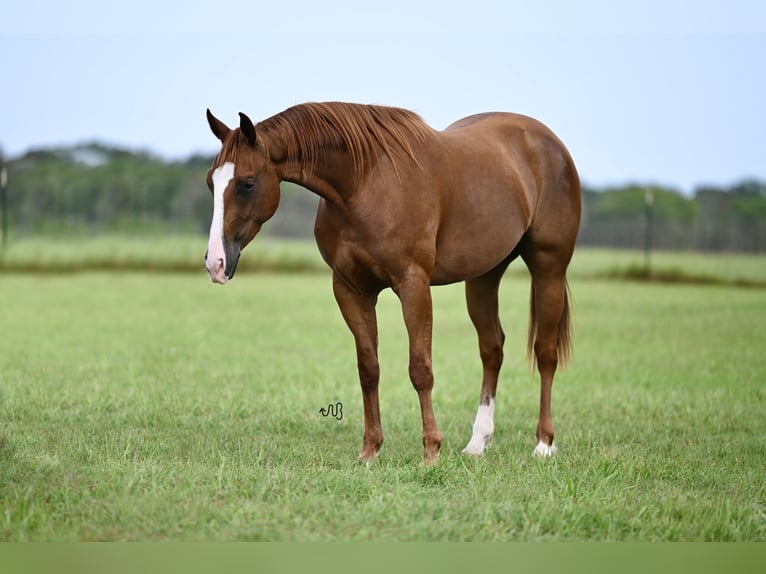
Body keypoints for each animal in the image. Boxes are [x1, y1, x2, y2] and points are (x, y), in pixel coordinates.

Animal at [204, 101, 584, 466]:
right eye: (211, 182)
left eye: (247, 183)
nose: (215, 263)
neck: (364, 182)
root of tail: (550, 143)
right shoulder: (351, 289)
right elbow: (368, 368)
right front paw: (370, 450)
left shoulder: (413, 284)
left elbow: (420, 368)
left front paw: (431, 451)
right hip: (483, 276)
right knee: (492, 349)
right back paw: (477, 444)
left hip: (549, 268)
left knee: (545, 352)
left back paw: (544, 444)